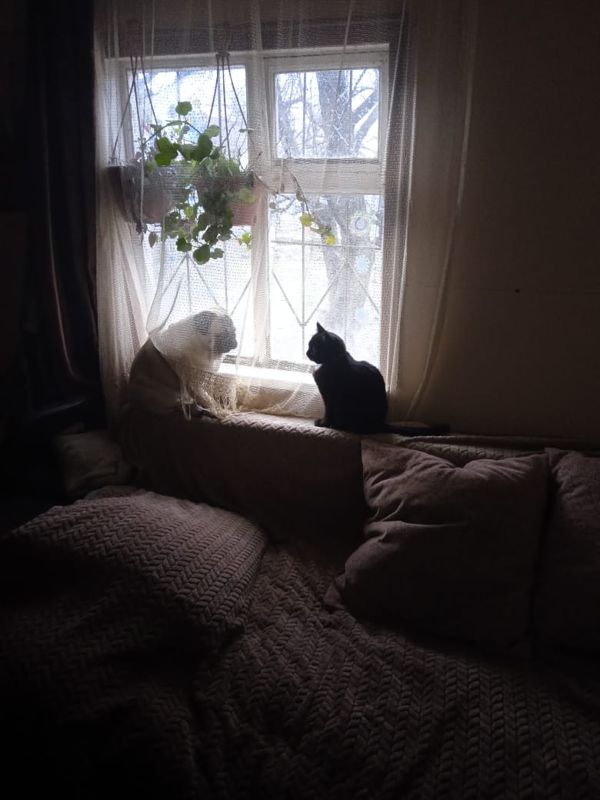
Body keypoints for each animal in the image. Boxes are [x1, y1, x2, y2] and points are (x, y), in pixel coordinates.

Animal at [306, 322, 449, 436]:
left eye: (313, 347)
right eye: (309, 345)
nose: (307, 353)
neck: (334, 361)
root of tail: (381, 424)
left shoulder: (329, 395)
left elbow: (328, 411)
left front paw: (323, 423)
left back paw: (338, 425)